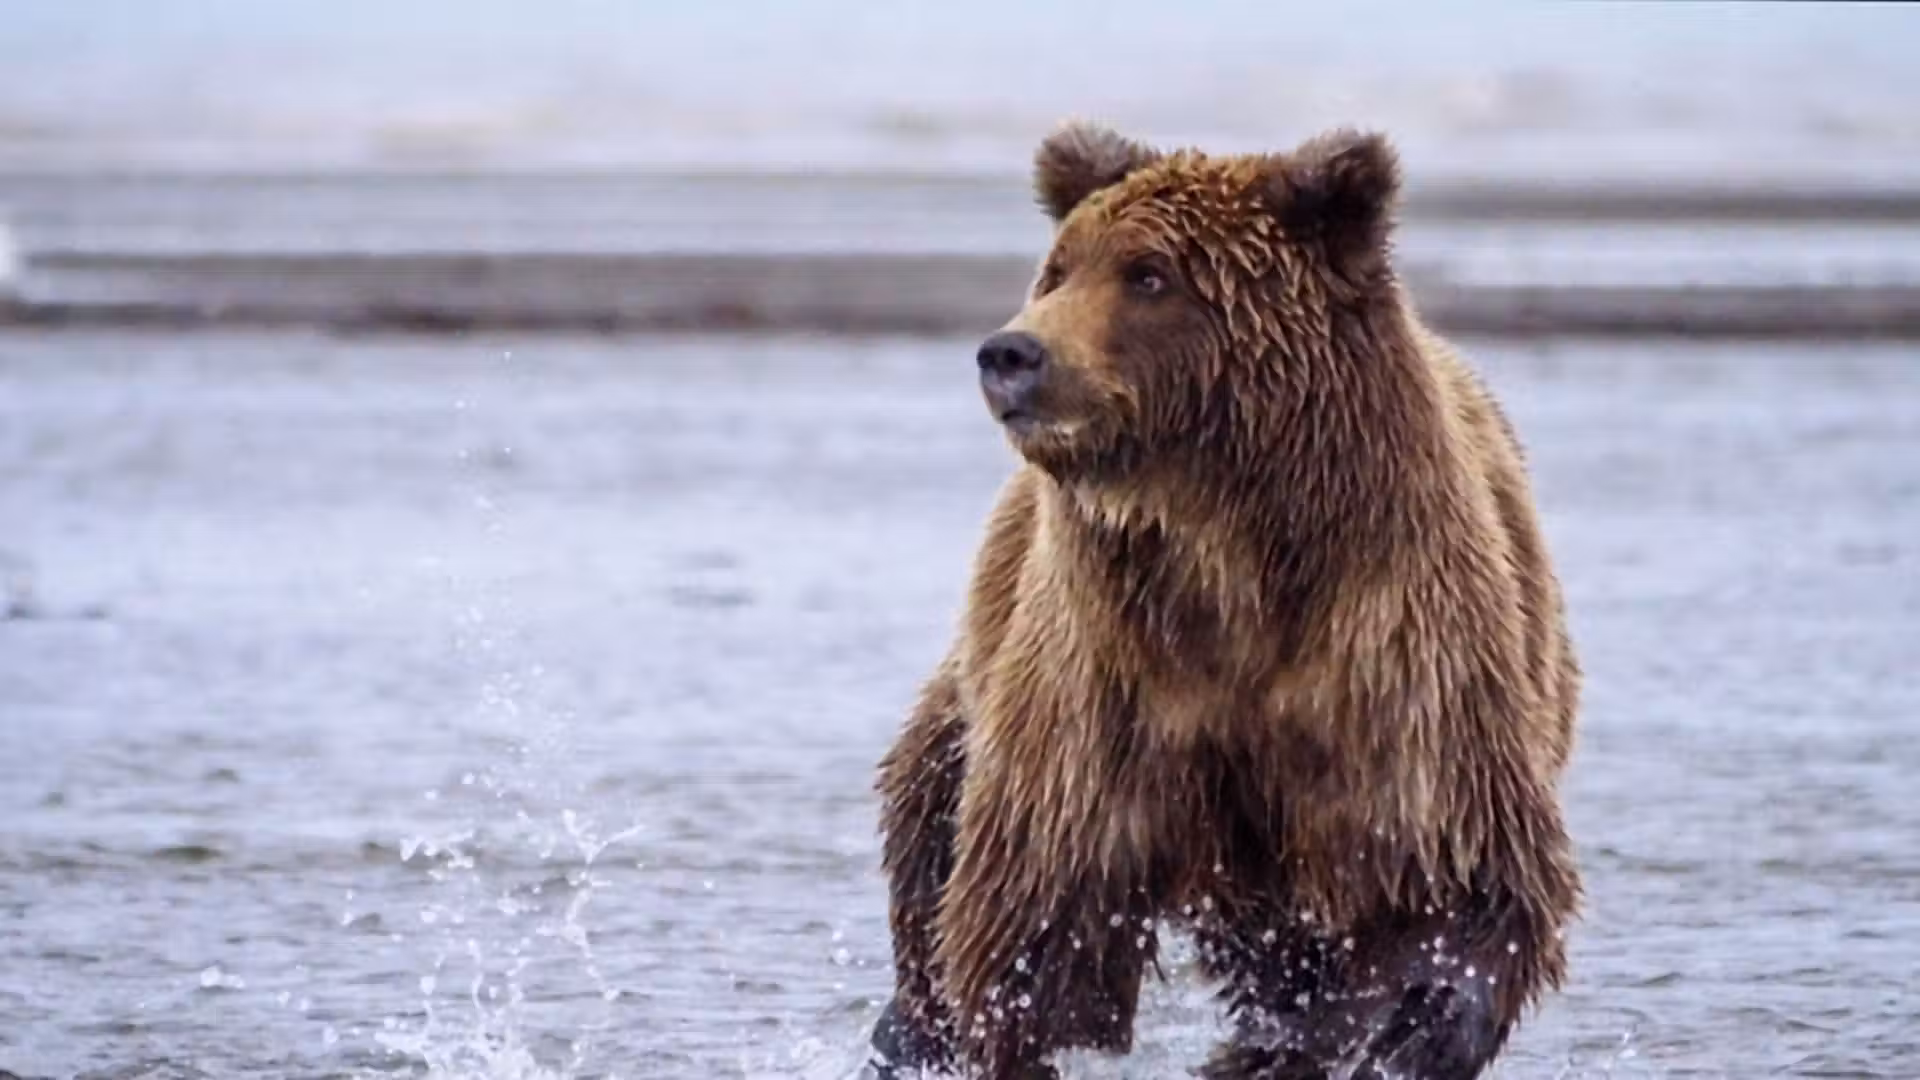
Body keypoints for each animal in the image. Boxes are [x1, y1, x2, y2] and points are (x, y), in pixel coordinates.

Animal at [866, 122, 1582, 1080]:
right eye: (1059, 268)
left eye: (1148, 275)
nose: (1011, 354)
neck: (1226, 551)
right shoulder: (1107, 685)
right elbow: (1038, 918)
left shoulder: (1395, 658)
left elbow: (1461, 882)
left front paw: (1380, 1028)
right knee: (929, 814)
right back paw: (909, 1025)